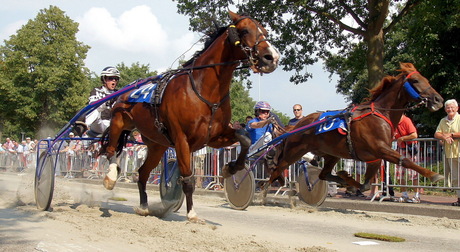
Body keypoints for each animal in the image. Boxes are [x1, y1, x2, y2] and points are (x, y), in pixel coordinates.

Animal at [101, 11, 280, 220]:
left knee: (143, 172)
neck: (204, 90)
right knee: (111, 149)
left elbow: (244, 138)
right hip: (120, 121)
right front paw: (192, 213)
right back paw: (111, 177)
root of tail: (127, 89)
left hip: (156, 145)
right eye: (244, 30)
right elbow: (188, 178)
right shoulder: (182, 140)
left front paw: (231, 168)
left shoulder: (214, 136)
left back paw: (144, 206)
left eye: (265, 31)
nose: (272, 57)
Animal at [268, 63, 444, 193]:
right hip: (294, 152)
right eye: (415, 81)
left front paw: (348, 179)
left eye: (426, 79)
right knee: (276, 170)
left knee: (323, 174)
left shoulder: (375, 156)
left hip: (331, 154)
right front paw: (434, 175)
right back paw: (264, 193)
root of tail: (295, 126)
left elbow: (366, 184)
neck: (381, 113)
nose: (438, 100)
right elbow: (405, 160)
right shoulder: (380, 148)